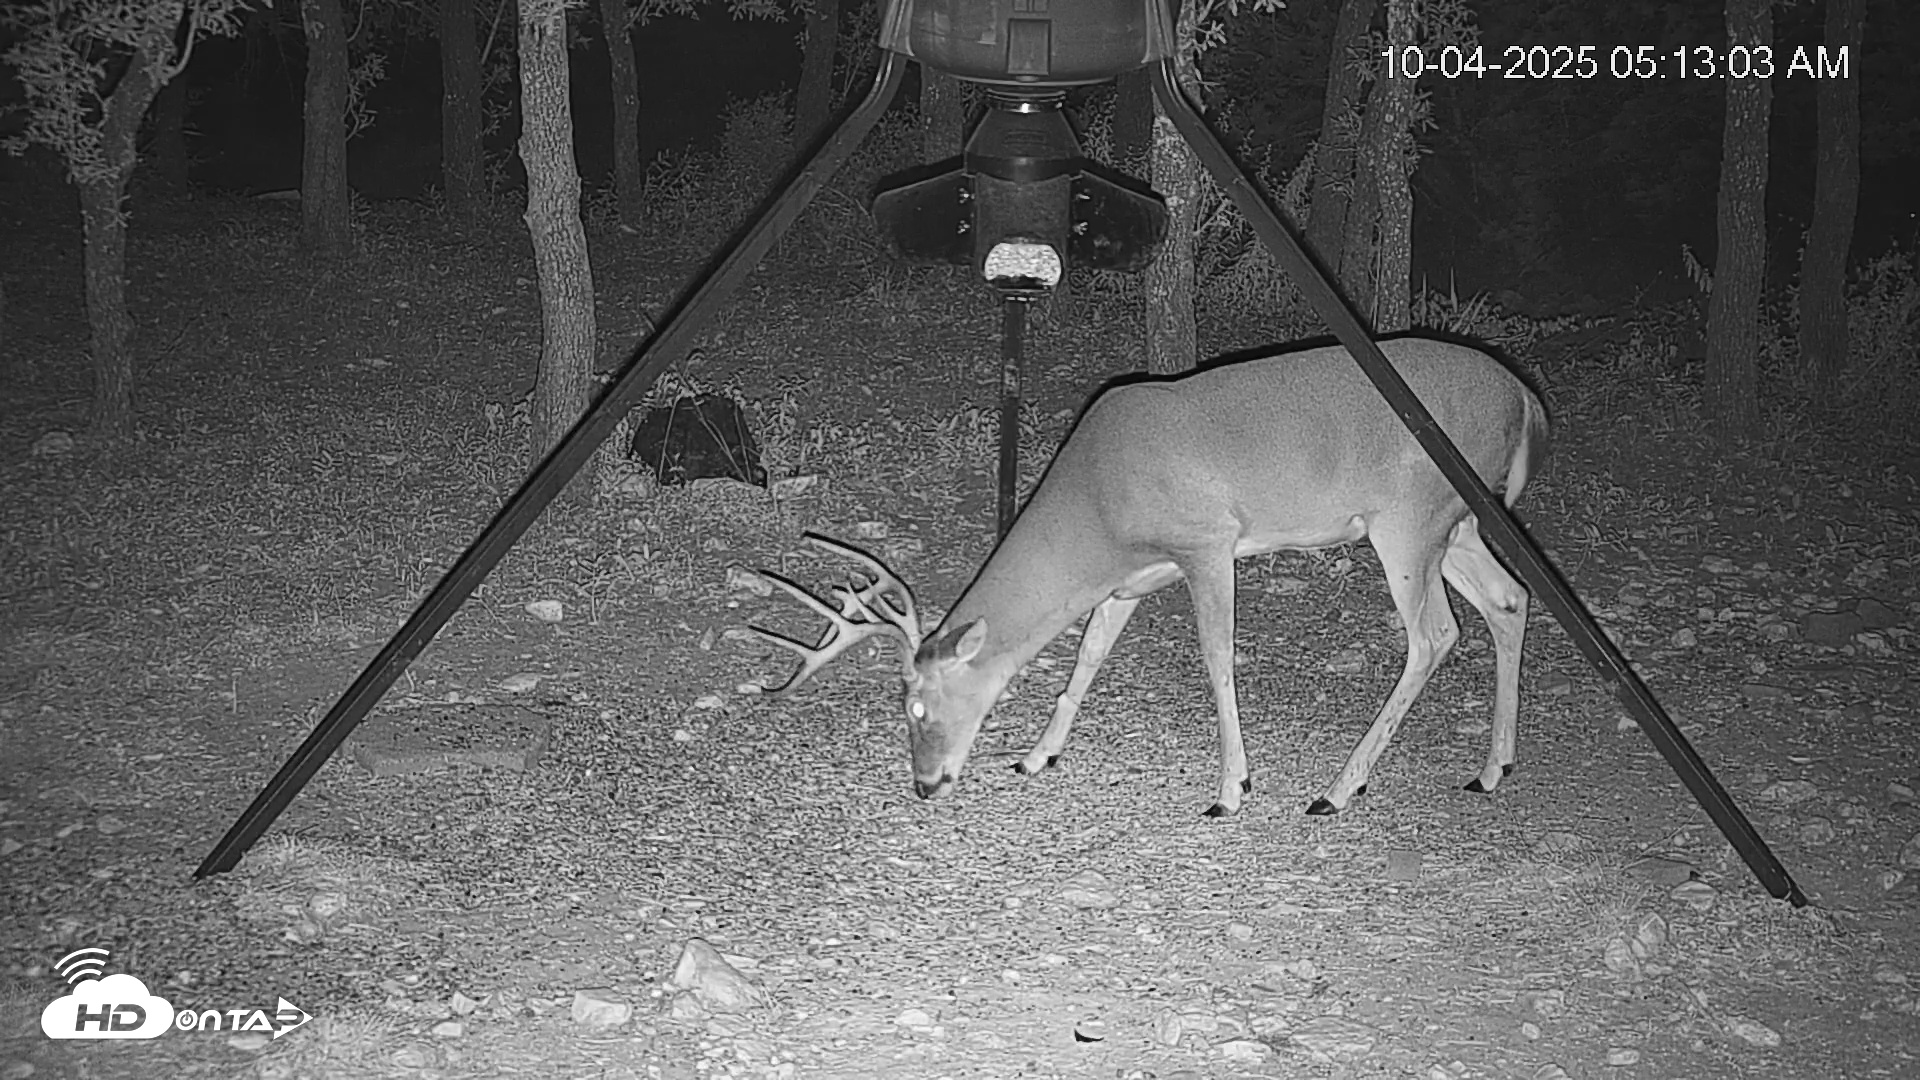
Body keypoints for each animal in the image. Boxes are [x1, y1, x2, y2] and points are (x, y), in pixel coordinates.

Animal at [748, 336, 1549, 817]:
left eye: (916, 706)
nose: (924, 783)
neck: (1100, 506)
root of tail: (1524, 396)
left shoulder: (1207, 542)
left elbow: (1217, 661)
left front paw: (1231, 790)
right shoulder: (1127, 580)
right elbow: (1086, 657)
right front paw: (1036, 755)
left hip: (1408, 519)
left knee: (1435, 634)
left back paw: (1337, 789)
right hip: (1458, 522)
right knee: (1510, 599)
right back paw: (1492, 768)